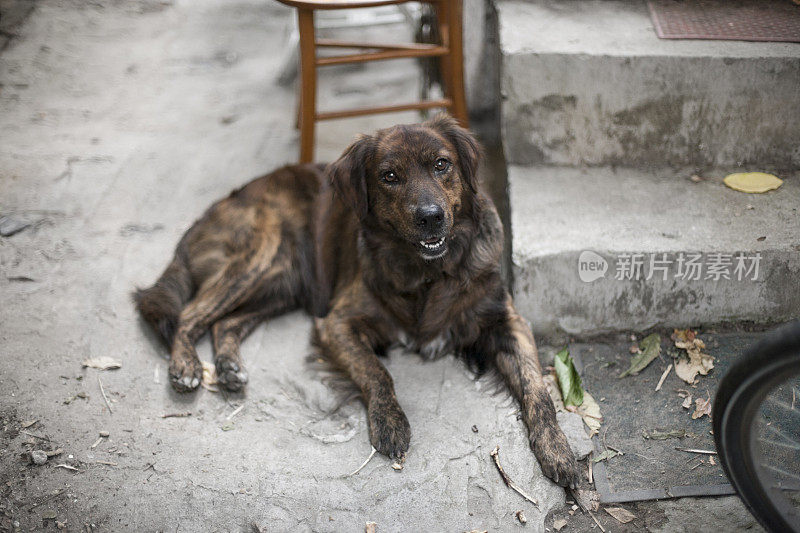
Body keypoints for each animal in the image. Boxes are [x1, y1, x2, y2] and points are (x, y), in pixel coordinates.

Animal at [134, 115, 580, 486]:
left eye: (442, 165)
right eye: (390, 176)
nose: (431, 217)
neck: (427, 274)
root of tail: (217, 206)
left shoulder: (506, 321)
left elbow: (538, 389)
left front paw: (558, 450)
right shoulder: (336, 322)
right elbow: (376, 372)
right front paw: (390, 422)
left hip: (281, 283)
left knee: (225, 321)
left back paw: (228, 368)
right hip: (259, 257)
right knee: (190, 314)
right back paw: (186, 367)